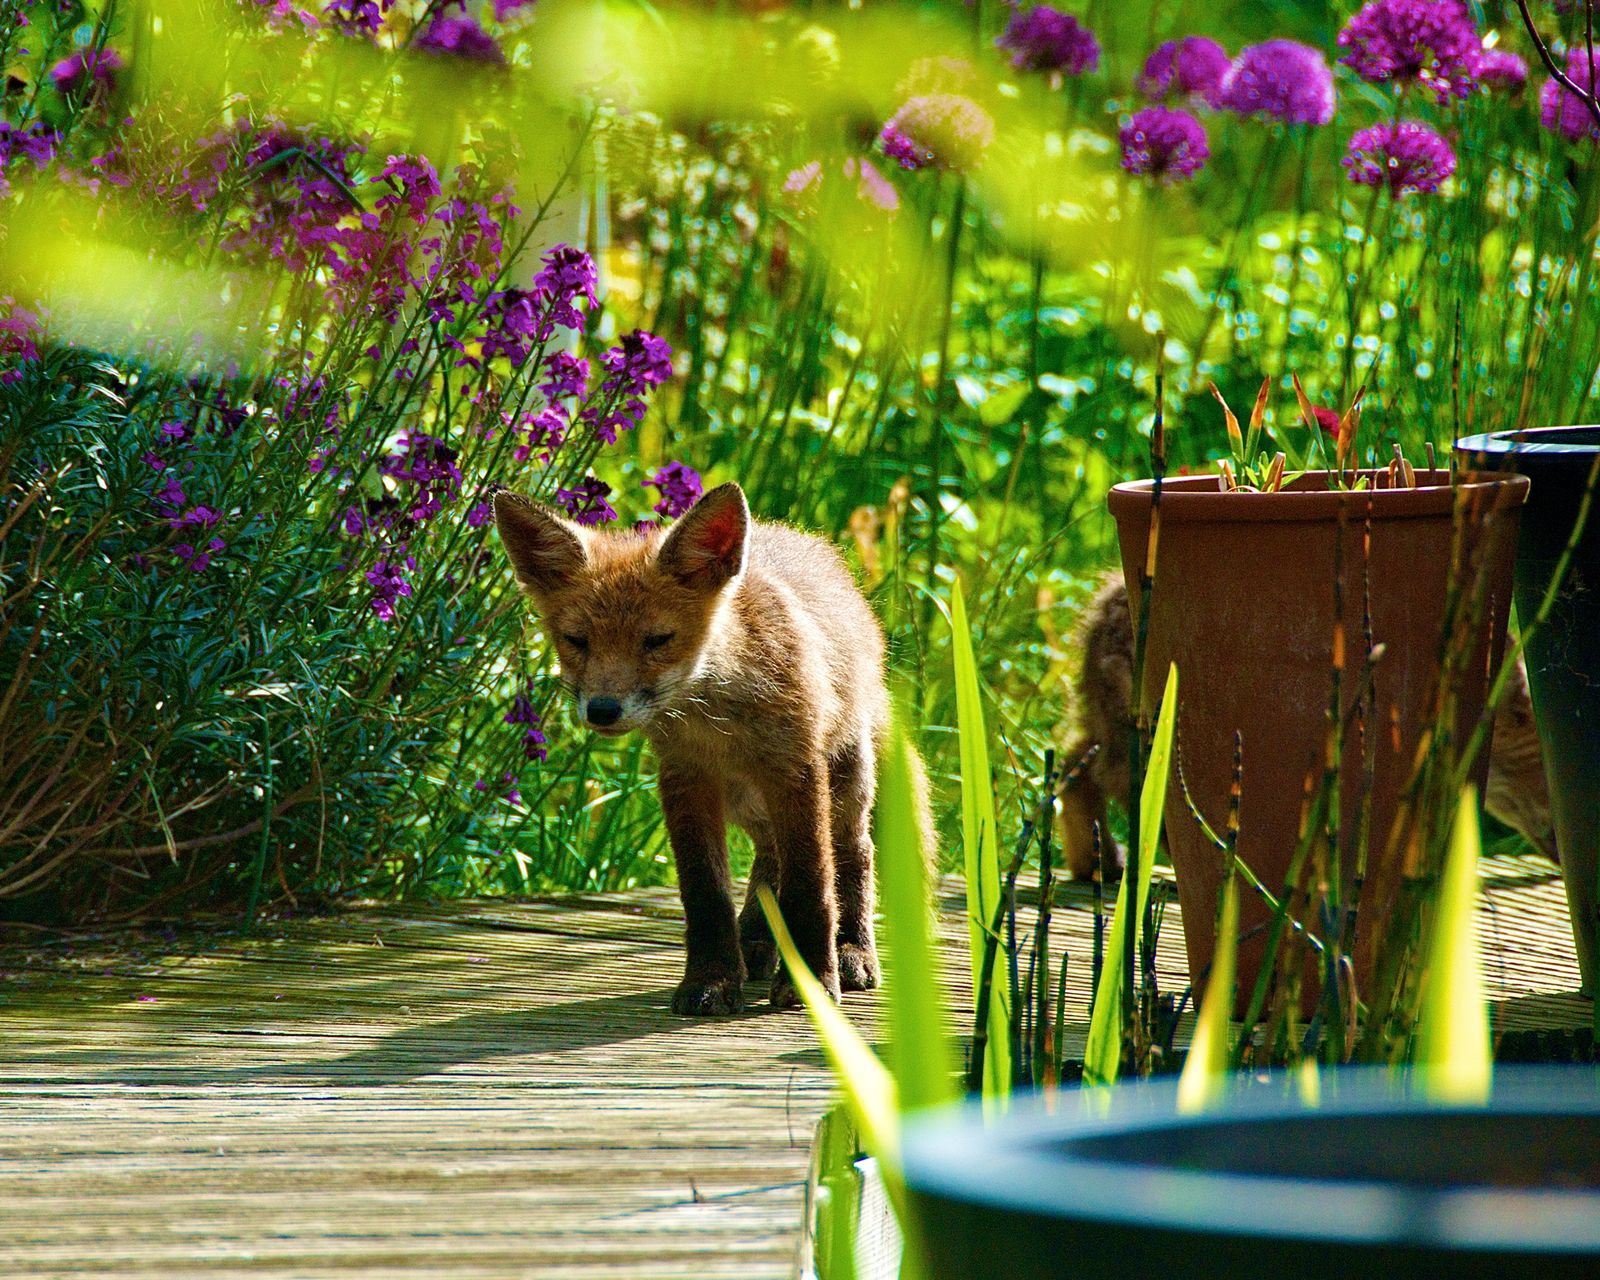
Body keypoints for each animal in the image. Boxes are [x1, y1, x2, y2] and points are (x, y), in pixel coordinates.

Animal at [494, 481, 904, 1016]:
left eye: (657, 640)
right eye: (576, 641)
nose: (602, 710)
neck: (719, 720)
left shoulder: (795, 770)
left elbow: (812, 883)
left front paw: (811, 984)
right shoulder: (685, 777)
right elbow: (705, 894)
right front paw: (711, 980)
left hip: (844, 782)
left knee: (854, 854)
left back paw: (851, 949)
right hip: (749, 802)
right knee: (768, 859)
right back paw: (756, 941)